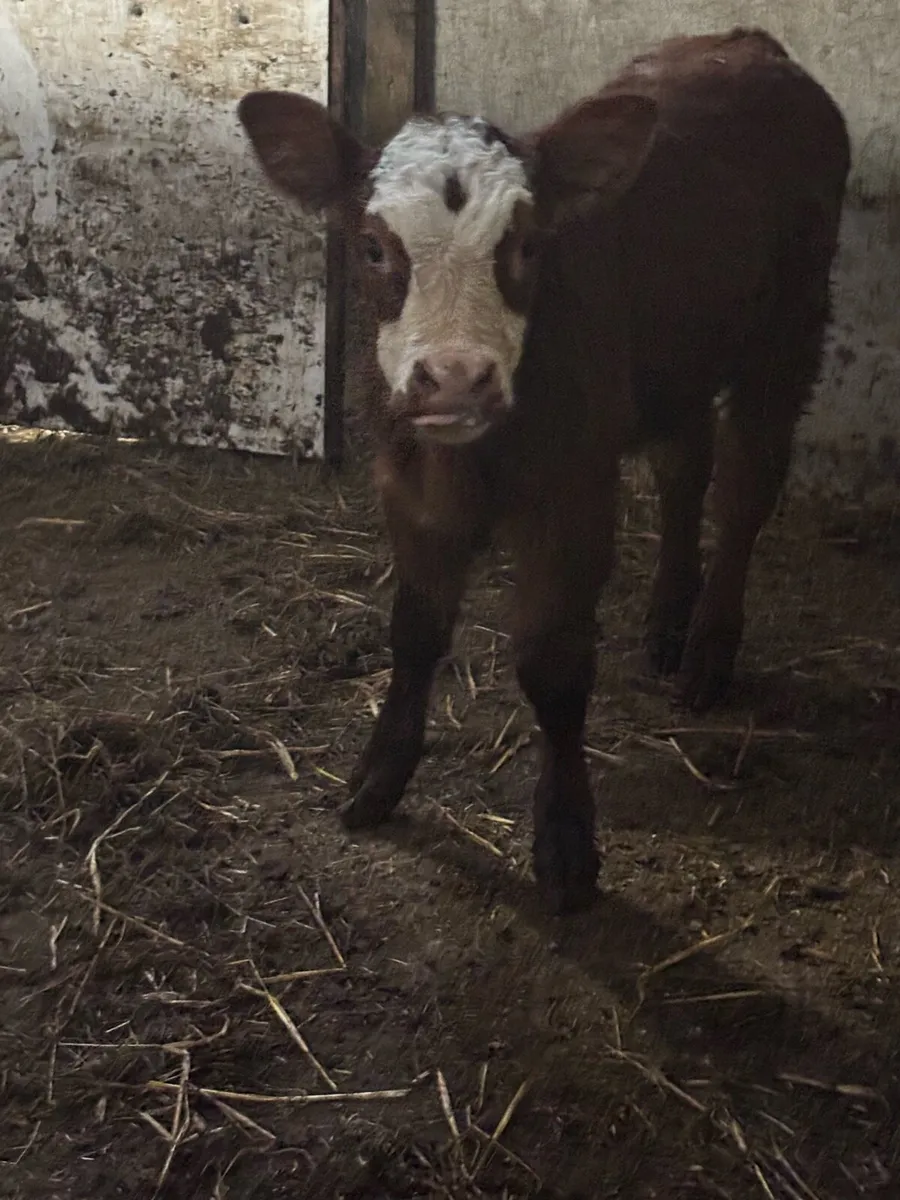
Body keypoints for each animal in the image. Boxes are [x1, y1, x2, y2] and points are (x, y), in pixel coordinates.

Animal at [238, 28, 851, 914]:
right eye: (374, 247)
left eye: (526, 246)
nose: (455, 378)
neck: (472, 457)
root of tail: (745, 42)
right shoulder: (406, 486)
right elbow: (413, 633)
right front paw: (377, 779)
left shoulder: (573, 490)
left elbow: (552, 664)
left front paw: (566, 843)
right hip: (672, 360)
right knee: (684, 468)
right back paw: (668, 620)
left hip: (789, 330)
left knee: (743, 488)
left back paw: (708, 648)